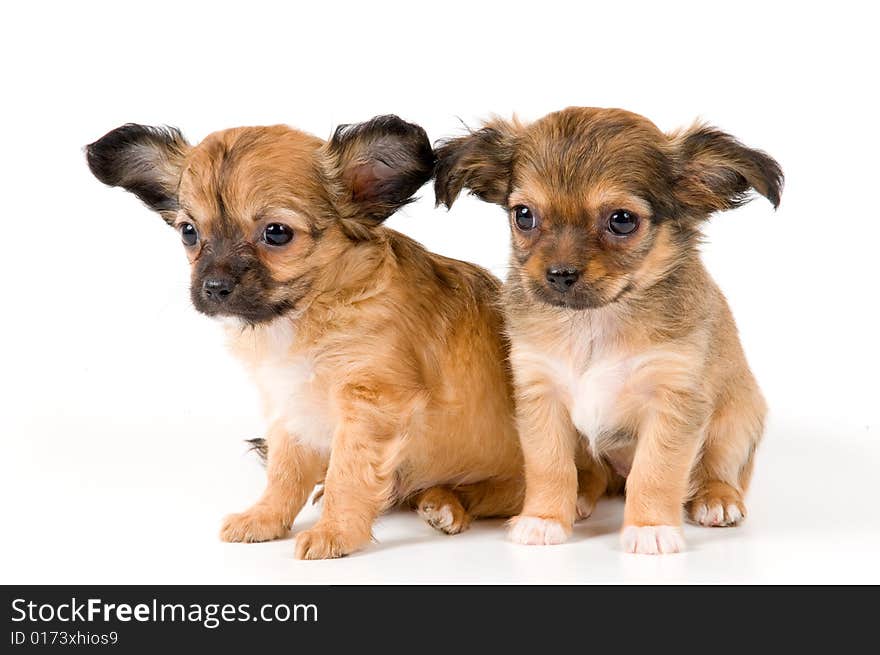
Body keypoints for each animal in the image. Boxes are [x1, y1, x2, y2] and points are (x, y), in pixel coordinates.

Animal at [84, 116, 524, 560]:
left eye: (276, 234)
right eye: (189, 233)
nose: (213, 287)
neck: (307, 312)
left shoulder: (370, 405)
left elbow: (349, 474)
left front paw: (335, 532)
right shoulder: (289, 404)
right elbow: (285, 471)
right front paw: (265, 518)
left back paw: (446, 504)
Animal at [434, 106, 784, 552]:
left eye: (621, 221)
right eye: (524, 216)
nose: (559, 274)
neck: (594, 322)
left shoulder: (673, 400)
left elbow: (656, 471)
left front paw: (650, 527)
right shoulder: (540, 394)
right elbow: (550, 465)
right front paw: (544, 518)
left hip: (737, 418)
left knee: (719, 467)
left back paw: (716, 499)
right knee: (594, 475)